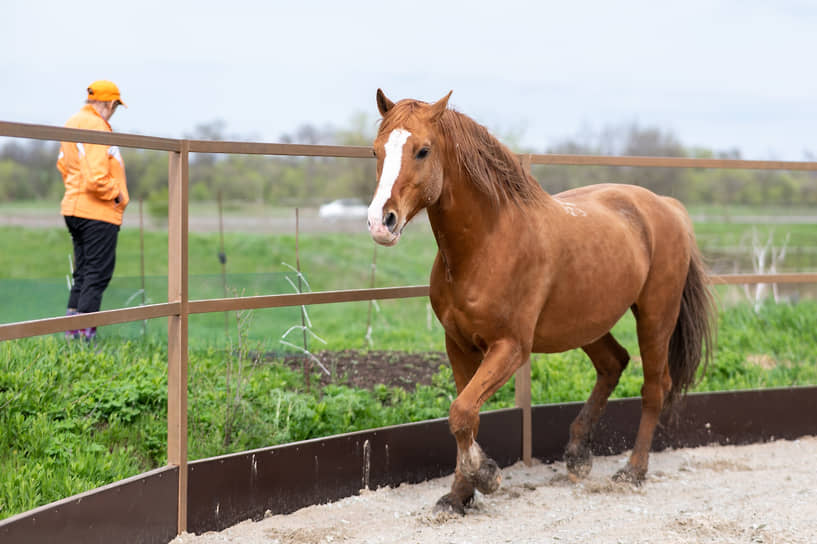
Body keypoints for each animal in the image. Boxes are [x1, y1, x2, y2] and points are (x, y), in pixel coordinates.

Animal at [364, 89, 712, 516]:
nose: (381, 223)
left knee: (654, 386)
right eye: (376, 150)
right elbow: (465, 416)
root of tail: (666, 206)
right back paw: (578, 454)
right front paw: (458, 496)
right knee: (614, 364)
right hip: (585, 323)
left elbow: (461, 412)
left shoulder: (511, 347)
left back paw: (632, 471)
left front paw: (486, 477)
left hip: (655, 316)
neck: (487, 244)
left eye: (422, 150)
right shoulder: (457, 345)